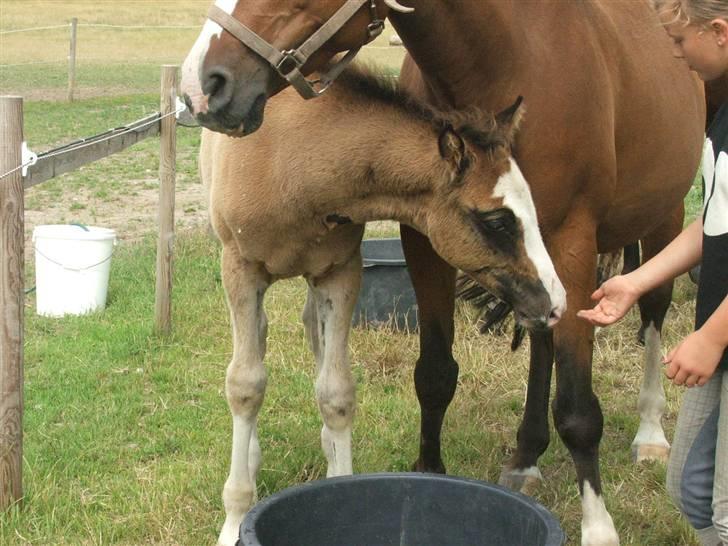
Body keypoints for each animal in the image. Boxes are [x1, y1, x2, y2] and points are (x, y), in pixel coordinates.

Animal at [200, 65, 568, 544]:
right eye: (497, 220)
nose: (556, 303)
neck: (292, 161)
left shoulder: (340, 271)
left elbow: (336, 391)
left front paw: (339, 478)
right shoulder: (241, 269)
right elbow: (245, 385)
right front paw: (234, 518)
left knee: (311, 334)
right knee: (258, 339)